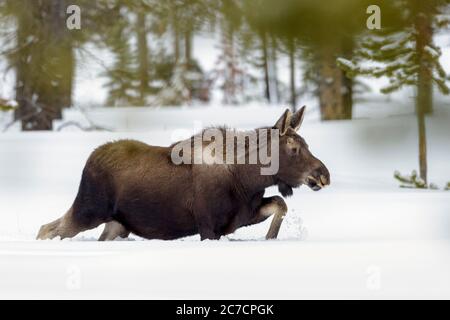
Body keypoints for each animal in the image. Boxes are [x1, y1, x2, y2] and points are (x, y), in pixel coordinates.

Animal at [37, 106, 328, 241]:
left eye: (306, 144)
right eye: (293, 148)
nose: (324, 174)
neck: (247, 178)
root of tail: (90, 160)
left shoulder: (242, 216)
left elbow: (280, 204)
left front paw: (270, 239)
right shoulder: (209, 226)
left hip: (117, 223)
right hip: (88, 210)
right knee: (46, 229)